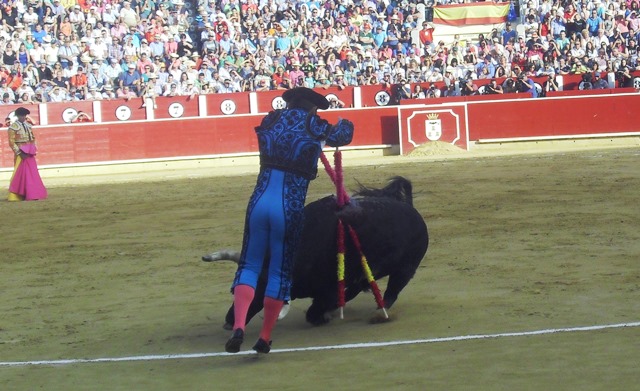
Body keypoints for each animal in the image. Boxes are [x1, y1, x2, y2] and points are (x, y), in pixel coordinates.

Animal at [202, 177, 428, 328]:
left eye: (259, 292)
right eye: (234, 291)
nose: (229, 322)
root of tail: (410, 208)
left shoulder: (330, 287)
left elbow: (315, 311)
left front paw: (323, 316)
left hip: (406, 269)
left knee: (391, 292)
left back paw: (379, 315)